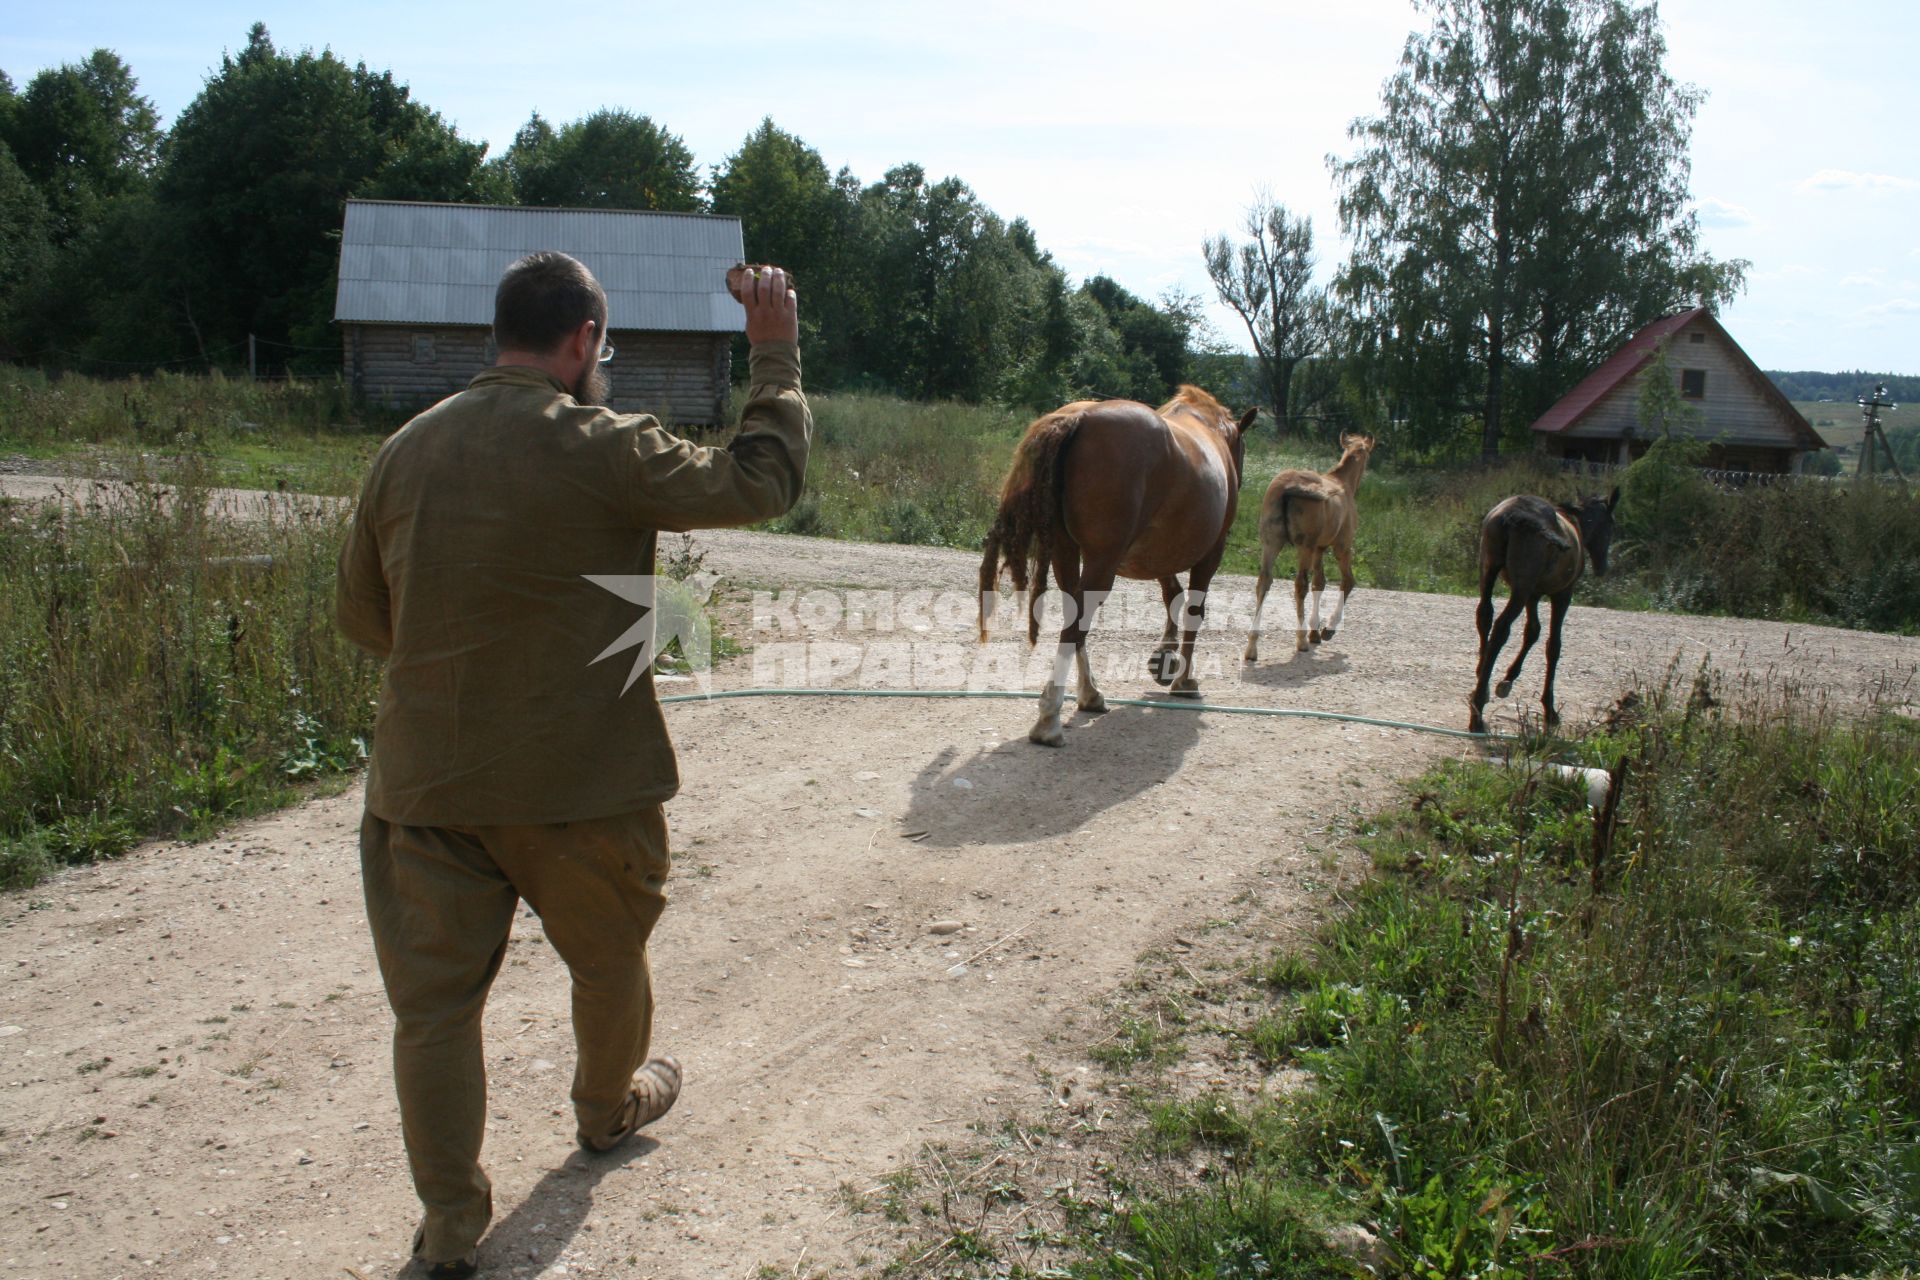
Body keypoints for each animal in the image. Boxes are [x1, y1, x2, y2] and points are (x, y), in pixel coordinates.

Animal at [975, 391, 1259, 752]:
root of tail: (1081, 416)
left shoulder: (1156, 556)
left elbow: (1173, 595)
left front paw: (1164, 658)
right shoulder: (1210, 554)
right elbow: (1194, 610)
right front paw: (1183, 679)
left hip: (1066, 552)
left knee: (1074, 618)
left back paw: (1089, 694)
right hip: (1102, 561)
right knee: (1076, 623)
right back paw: (1050, 719)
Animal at [1236, 435, 1374, 667]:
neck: (1342, 484)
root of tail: (1289, 487)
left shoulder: (1319, 548)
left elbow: (1320, 583)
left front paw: (1315, 631)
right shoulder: (1341, 546)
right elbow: (1347, 582)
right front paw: (1327, 629)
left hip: (1271, 543)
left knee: (1264, 582)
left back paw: (1251, 648)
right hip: (1305, 547)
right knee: (1300, 584)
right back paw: (1300, 641)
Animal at [1466, 487, 1620, 729]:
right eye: (1611, 525)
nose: (1602, 567)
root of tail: (1515, 515)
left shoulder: (1534, 594)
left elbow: (1532, 632)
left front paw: (1507, 680)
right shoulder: (1562, 594)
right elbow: (1553, 645)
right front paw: (1549, 709)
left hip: (1488, 570)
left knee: (1485, 615)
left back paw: (1483, 678)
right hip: (1521, 587)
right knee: (1501, 628)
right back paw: (1478, 711)